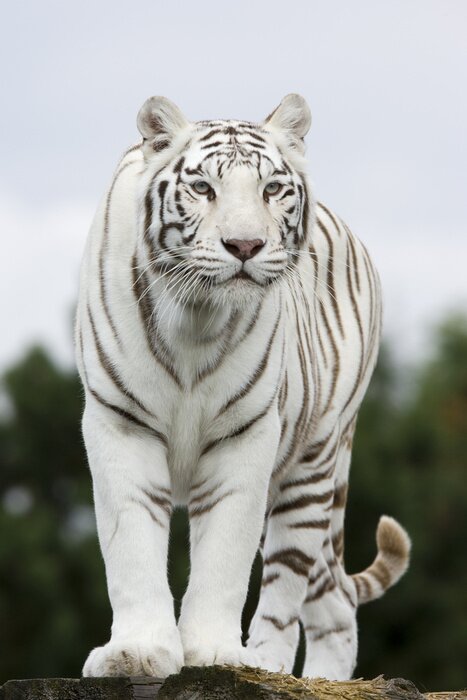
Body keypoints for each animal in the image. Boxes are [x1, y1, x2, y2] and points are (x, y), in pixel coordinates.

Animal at [75, 93, 410, 681]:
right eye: (202, 187)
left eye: (272, 189)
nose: (245, 244)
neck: (194, 316)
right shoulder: (121, 424)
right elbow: (132, 548)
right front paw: (136, 652)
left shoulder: (245, 435)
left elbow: (224, 557)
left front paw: (212, 653)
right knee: (334, 605)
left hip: (311, 470)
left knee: (292, 594)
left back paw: (267, 666)